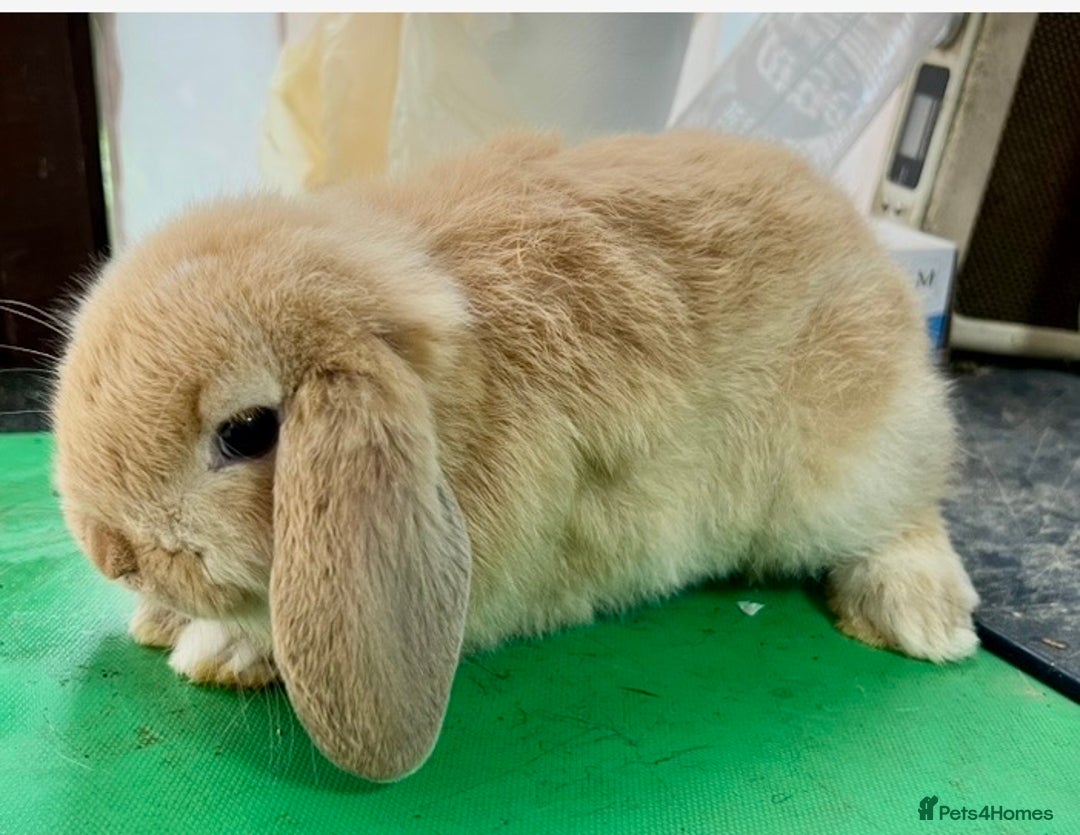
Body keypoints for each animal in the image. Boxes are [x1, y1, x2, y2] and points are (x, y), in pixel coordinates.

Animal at [51, 130, 979, 782]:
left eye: (247, 432)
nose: (111, 551)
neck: (448, 398)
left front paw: (221, 651)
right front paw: (162, 620)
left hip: (844, 474)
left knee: (913, 510)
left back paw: (921, 617)